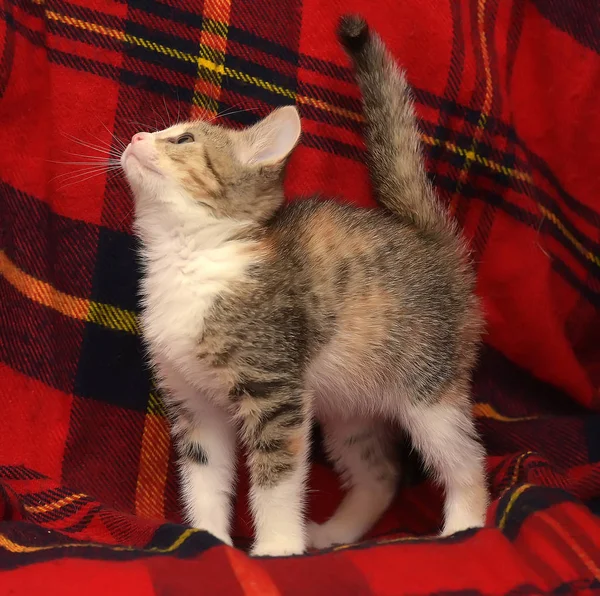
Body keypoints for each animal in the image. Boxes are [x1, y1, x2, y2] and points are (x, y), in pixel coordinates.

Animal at [120, 14, 488, 556]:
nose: (138, 135)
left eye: (183, 141)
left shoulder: (275, 391)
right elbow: (204, 477)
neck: (190, 259)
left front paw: (276, 547)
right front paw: (207, 538)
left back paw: (465, 526)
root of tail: (430, 239)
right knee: (380, 473)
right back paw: (337, 534)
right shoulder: (193, 402)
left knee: (467, 458)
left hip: (428, 388)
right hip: (350, 408)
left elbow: (276, 478)